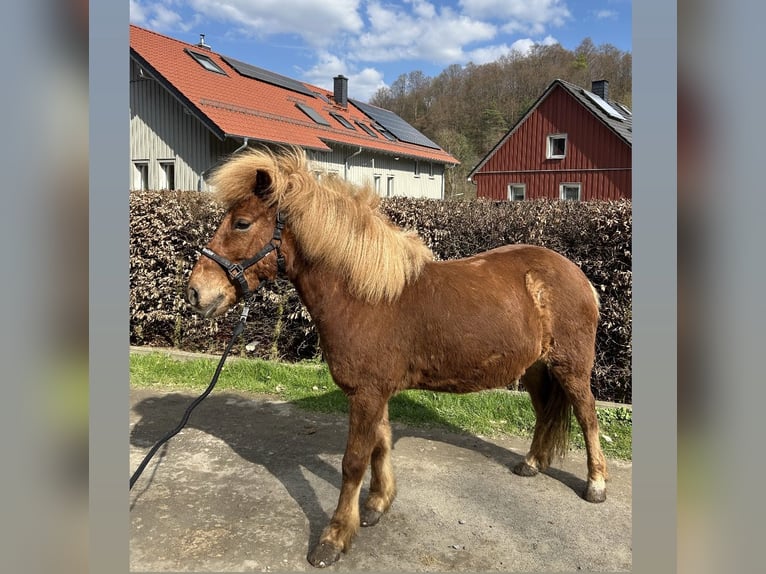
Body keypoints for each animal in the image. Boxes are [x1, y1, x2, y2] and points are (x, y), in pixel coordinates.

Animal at [187, 147, 608, 568]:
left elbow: (354, 461)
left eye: (242, 223)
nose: (195, 292)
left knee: (587, 416)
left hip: (571, 368)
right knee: (544, 413)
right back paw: (532, 464)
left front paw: (334, 538)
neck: (366, 295)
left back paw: (596, 484)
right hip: (536, 369)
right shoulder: (376, 392)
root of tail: (578, 276)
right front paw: (377, 504)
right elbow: (382, 443)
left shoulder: (367, 394)